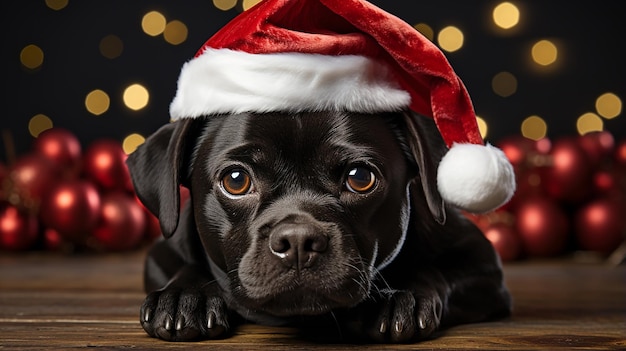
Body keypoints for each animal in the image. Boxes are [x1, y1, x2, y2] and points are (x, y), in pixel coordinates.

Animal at [127, 110, 512, 344]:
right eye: (236, 180)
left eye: (360, 177)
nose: (298, 240)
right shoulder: (162, 254)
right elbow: (188, 266)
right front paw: (184, 297)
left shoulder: (482, 262)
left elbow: (437, 271)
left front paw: (400, 297)